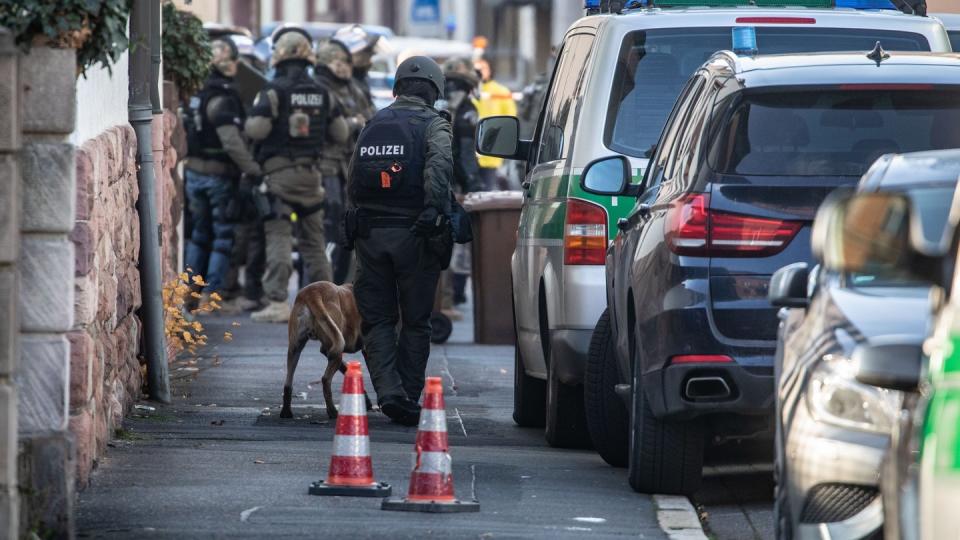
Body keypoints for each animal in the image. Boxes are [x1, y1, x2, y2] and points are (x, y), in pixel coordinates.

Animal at [280, 280, 374, 420]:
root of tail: (312, 293)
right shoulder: (367, 351)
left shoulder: (326, 350)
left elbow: (347, 369)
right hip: (336, 349)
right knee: (325, 379)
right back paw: (332, 411)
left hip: (295, 348)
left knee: (288, 382)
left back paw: (286, 411)